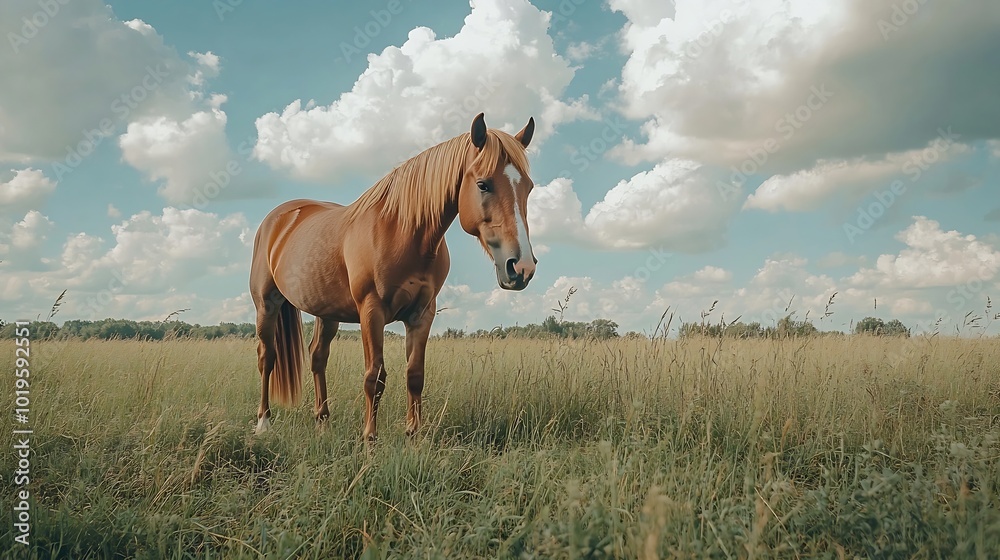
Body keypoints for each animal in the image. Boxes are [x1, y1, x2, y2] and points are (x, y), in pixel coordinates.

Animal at [249, 113, 537, 440]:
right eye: (483, 184)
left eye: (528, 187)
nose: (521, 267)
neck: (402, 232)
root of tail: (279, 218)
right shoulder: (371, 312)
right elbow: (374, 376)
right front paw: (369, 439)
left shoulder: (422, 314)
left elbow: (415, 375)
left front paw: (413, 436)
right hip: (266, 304)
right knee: (267, 357)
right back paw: (263, 422)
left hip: (327, 312)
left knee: (317, 357)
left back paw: (322, 421)